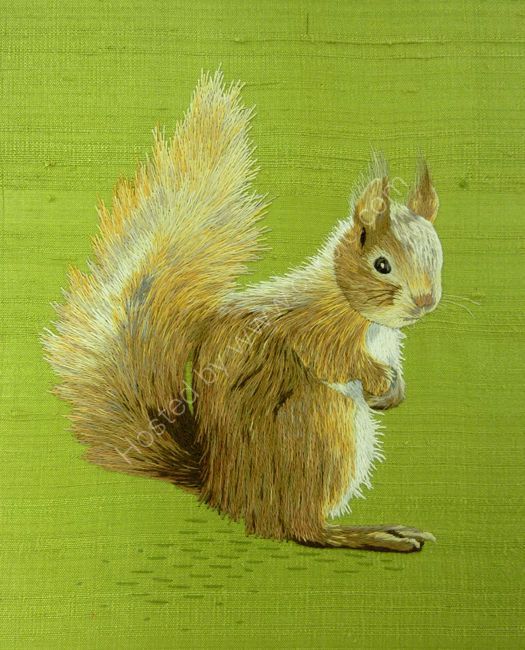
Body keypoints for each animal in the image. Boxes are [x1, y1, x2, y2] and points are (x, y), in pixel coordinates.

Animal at [44, 70, 442, 553]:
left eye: (438, 254)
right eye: (382, 265)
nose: (425, 302)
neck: (358, 312)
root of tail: (224, 490)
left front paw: (395, 387)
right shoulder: (317, 330)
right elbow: (335, 360)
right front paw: (381, 380)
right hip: (324, 429)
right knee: (301, 529)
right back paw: (370, 534)